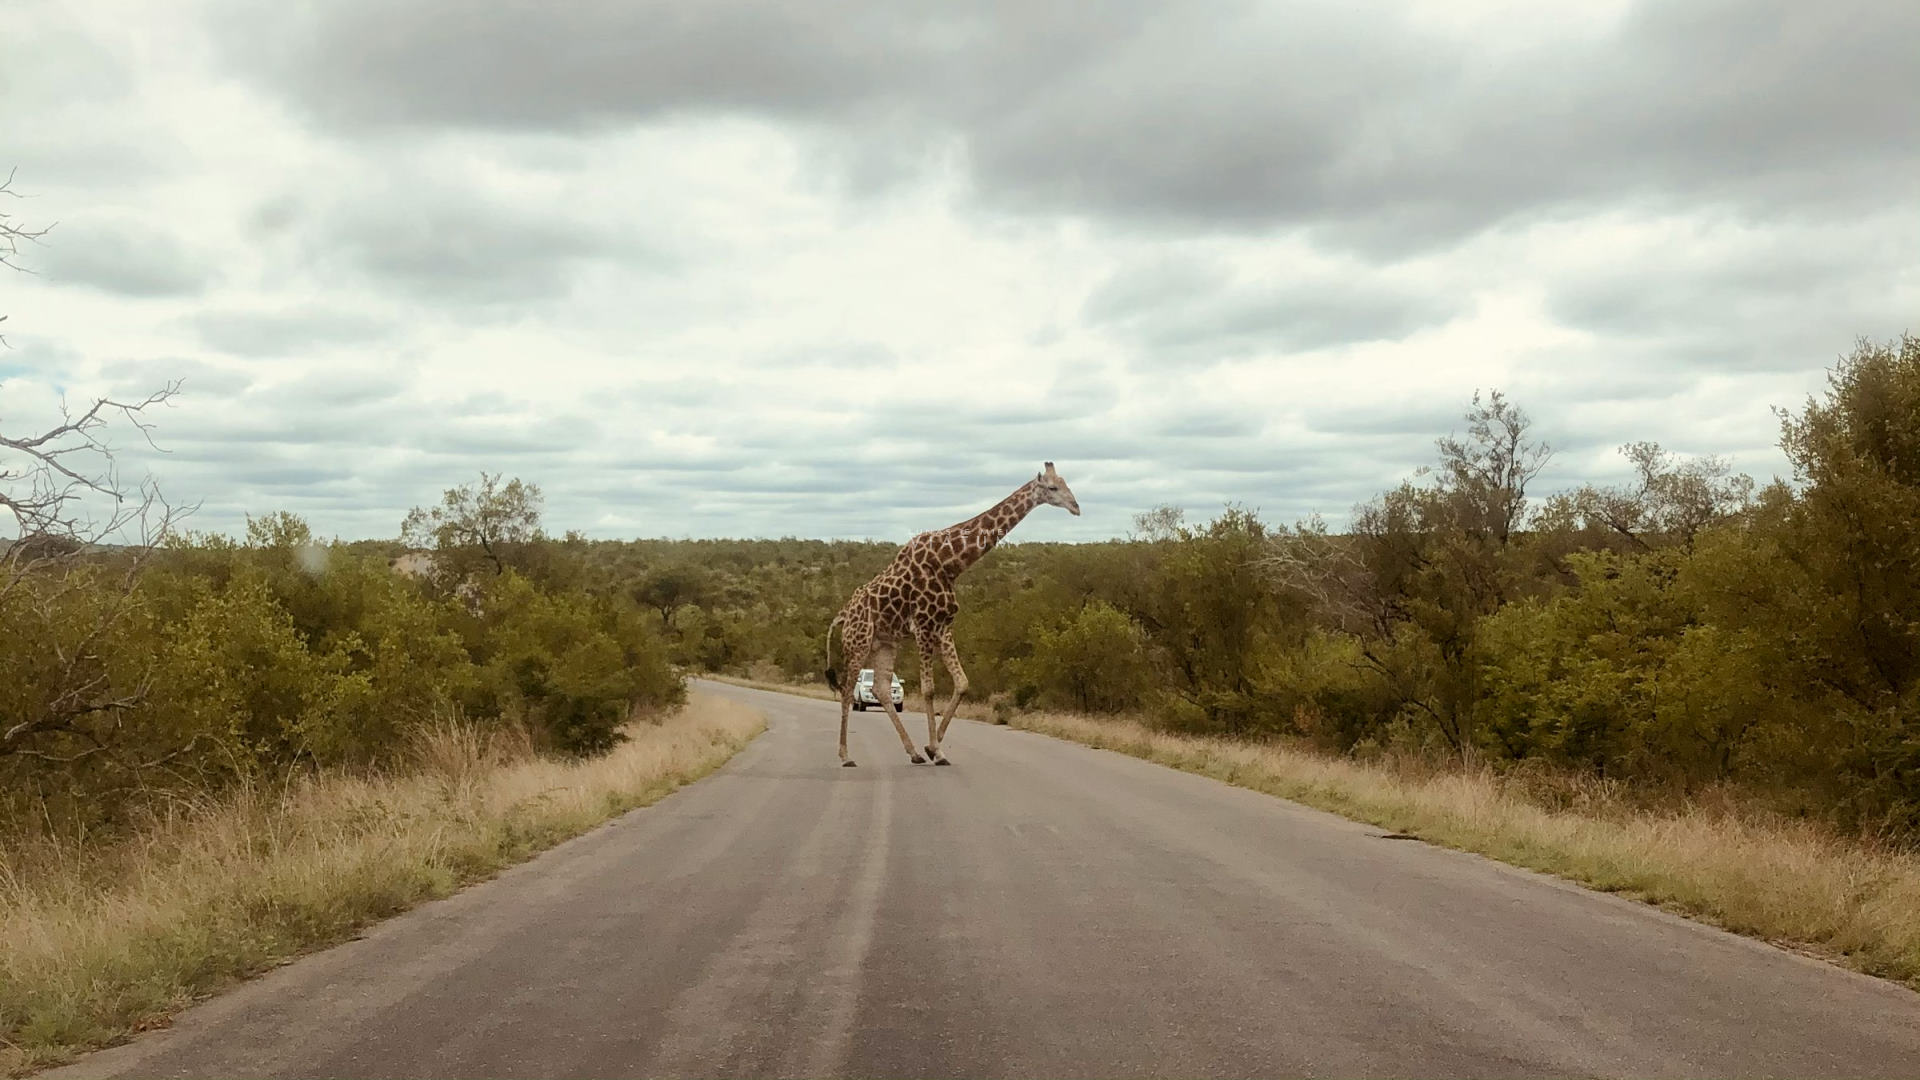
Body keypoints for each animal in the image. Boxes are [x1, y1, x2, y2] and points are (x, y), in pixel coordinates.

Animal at [817, 463, 1075, 764]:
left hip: (885, 642)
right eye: (1052, 487)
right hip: (858, 642)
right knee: (848, 691)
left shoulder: (944, 627)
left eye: (1066, 483)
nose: (1076, 506)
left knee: (881, 689)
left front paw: (932, 747)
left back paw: (913, 752)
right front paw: (937, 751)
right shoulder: (924, 627)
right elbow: (928, 690)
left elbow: (962, 683)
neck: (950, 563)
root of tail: (842, 615)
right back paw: (846, 755)